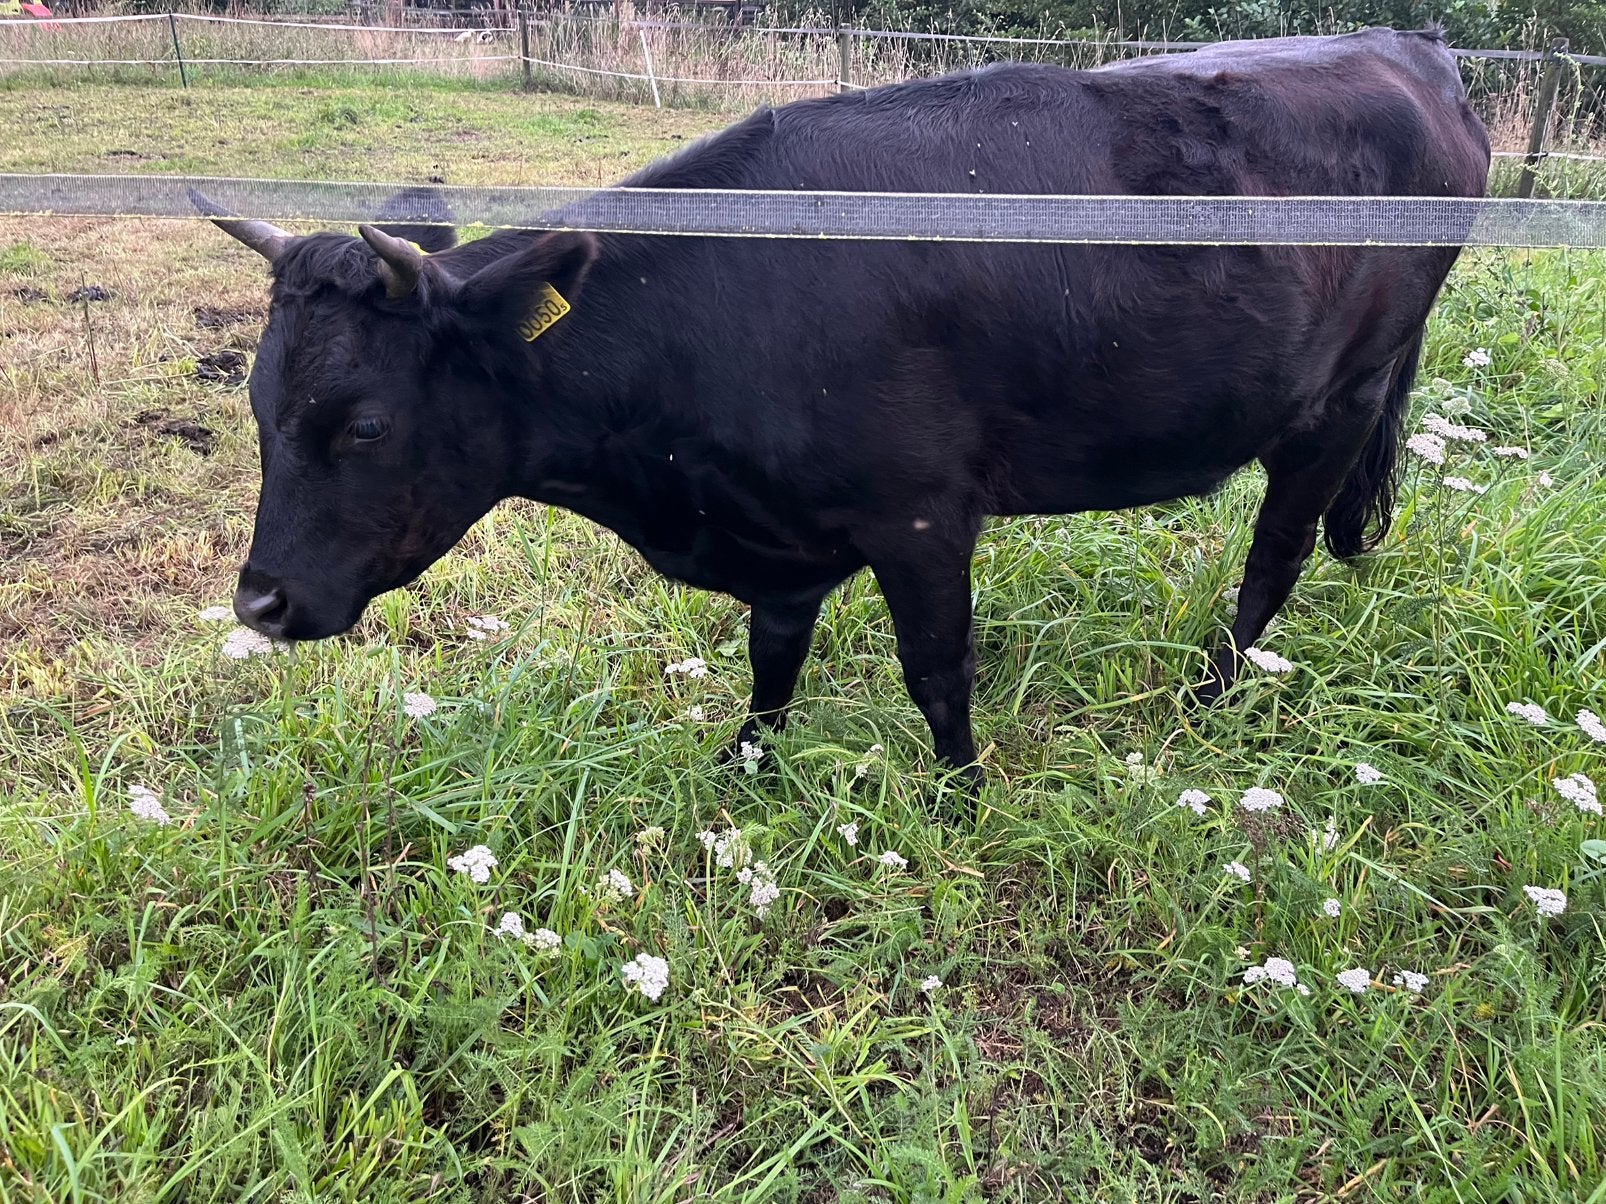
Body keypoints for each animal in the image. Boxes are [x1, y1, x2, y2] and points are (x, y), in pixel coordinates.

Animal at [201, 27, 1490, 788]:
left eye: (363, 423)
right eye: (257, 405)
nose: (261, 603)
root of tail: (1405, 44)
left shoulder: (919, 513)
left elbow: (936, 670)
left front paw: (961, 798)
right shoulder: (780, 535)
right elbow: (772, 661)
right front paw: (742, 771)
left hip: (1337, 400)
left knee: (1275, 556)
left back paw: (1210, 694)